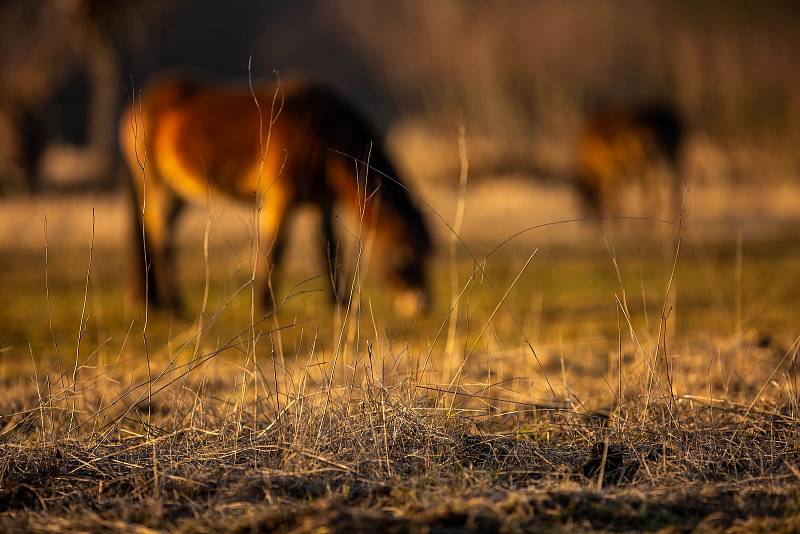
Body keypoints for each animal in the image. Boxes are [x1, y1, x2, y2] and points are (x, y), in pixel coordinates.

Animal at [119, 76, 432, 318]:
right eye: (405, 254)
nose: (422, 305)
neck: (321, 130)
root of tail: (139, 105)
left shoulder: (322, 203)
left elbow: (330, 249)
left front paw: (341, 305)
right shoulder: (281, 198)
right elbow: (275, 249)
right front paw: (266, 307)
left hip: (177, 194)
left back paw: (157, 303)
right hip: (157, 187)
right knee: (160, 240)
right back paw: (172, 306)